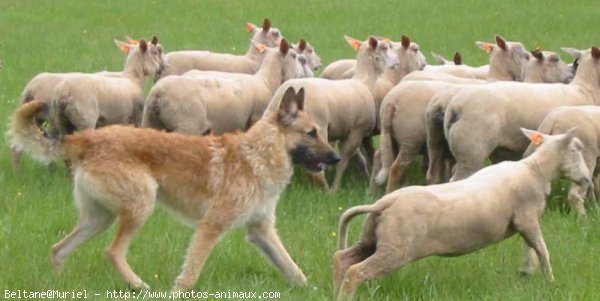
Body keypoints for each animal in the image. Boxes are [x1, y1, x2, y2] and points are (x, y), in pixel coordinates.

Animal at [9, 86, 340, 290]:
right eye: (311, 133)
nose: (336, 158)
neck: (256, 155)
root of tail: (86, 139)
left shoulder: (262, 231)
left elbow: (292, 269)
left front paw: (311, 290)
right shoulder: (211, 228)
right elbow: (190, 274)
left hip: (100, 219)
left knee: (59, 250)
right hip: (140, 208)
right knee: (113, 252)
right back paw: (138, 285)